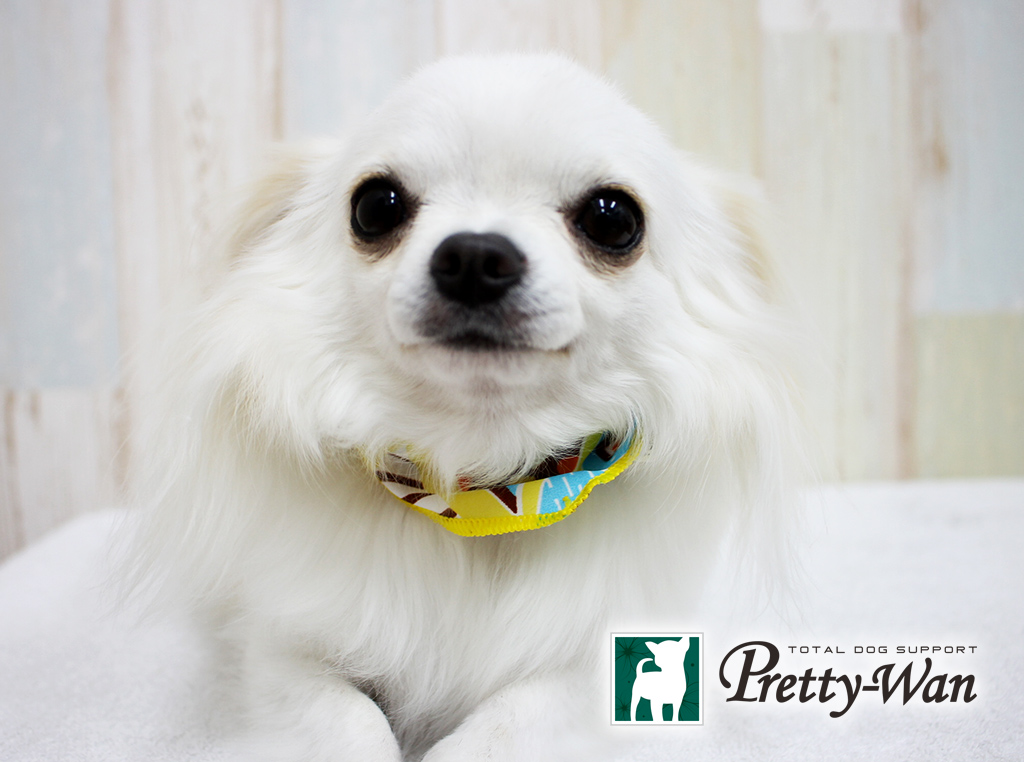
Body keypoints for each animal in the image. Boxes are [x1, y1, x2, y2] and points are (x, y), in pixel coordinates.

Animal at [127, 53, 804, 761]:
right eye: (375, 207)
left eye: (613, 219)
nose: (476, 255)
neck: (484, 496)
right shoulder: (280, 653)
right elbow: (350, 721)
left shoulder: (590, 667)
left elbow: (501, 727)